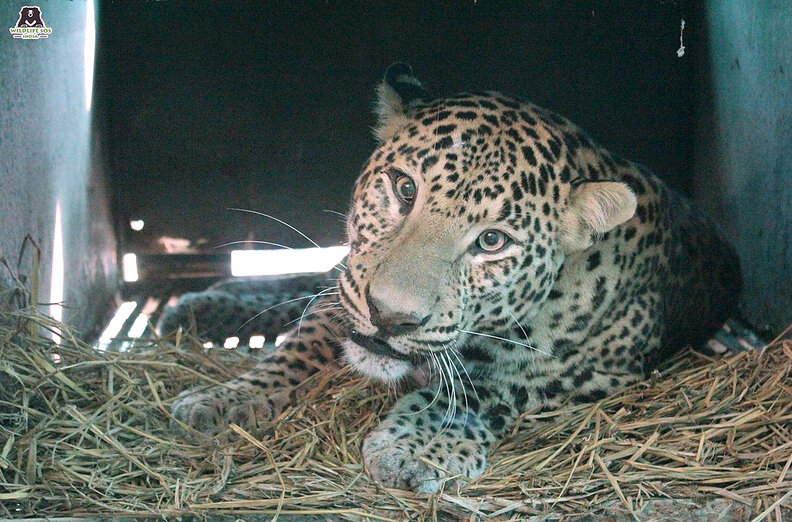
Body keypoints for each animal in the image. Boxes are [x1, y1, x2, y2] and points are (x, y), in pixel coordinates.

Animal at [167, 63, 741, 494]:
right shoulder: (348, 294)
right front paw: (222, 401)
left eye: (492, 242)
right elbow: (298, 348)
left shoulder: (596, 370)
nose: (390, 316)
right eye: (404, 189)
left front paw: (411, 450)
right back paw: (205, 304)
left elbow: (485, 390)